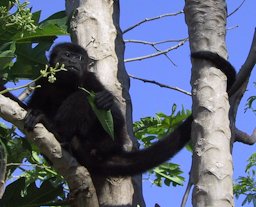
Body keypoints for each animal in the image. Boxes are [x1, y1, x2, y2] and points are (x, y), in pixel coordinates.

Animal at [22, 42, 236, 175]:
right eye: (67, 55)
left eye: (79, 58)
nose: (74, 61)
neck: (66, 83)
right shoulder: (43, 81)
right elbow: (32, 105)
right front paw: (34, 112)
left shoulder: (91, 80)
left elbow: (115, 117)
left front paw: (106, 100)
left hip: (104, 140)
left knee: (82, 99)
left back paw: (57, 131)